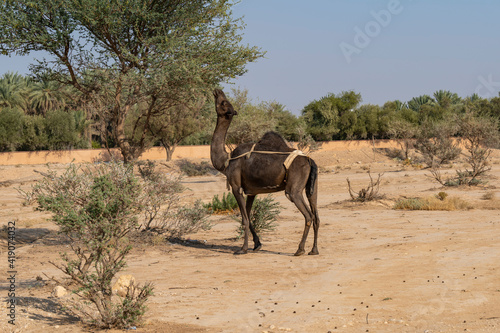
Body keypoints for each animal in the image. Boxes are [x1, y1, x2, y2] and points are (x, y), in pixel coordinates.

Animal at [211, 88, 320, 254]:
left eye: (223, 102)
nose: (217, 90)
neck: (226, 160)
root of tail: (309, 160)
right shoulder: (251, 191)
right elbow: (249, 217)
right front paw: (257, 244)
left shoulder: (236, 187)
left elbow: (244, 219)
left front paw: (242, 249)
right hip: (312, 187)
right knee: (316, 215)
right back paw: (314, 250)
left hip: (294, 189)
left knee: (308, 215)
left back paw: (299, 250)